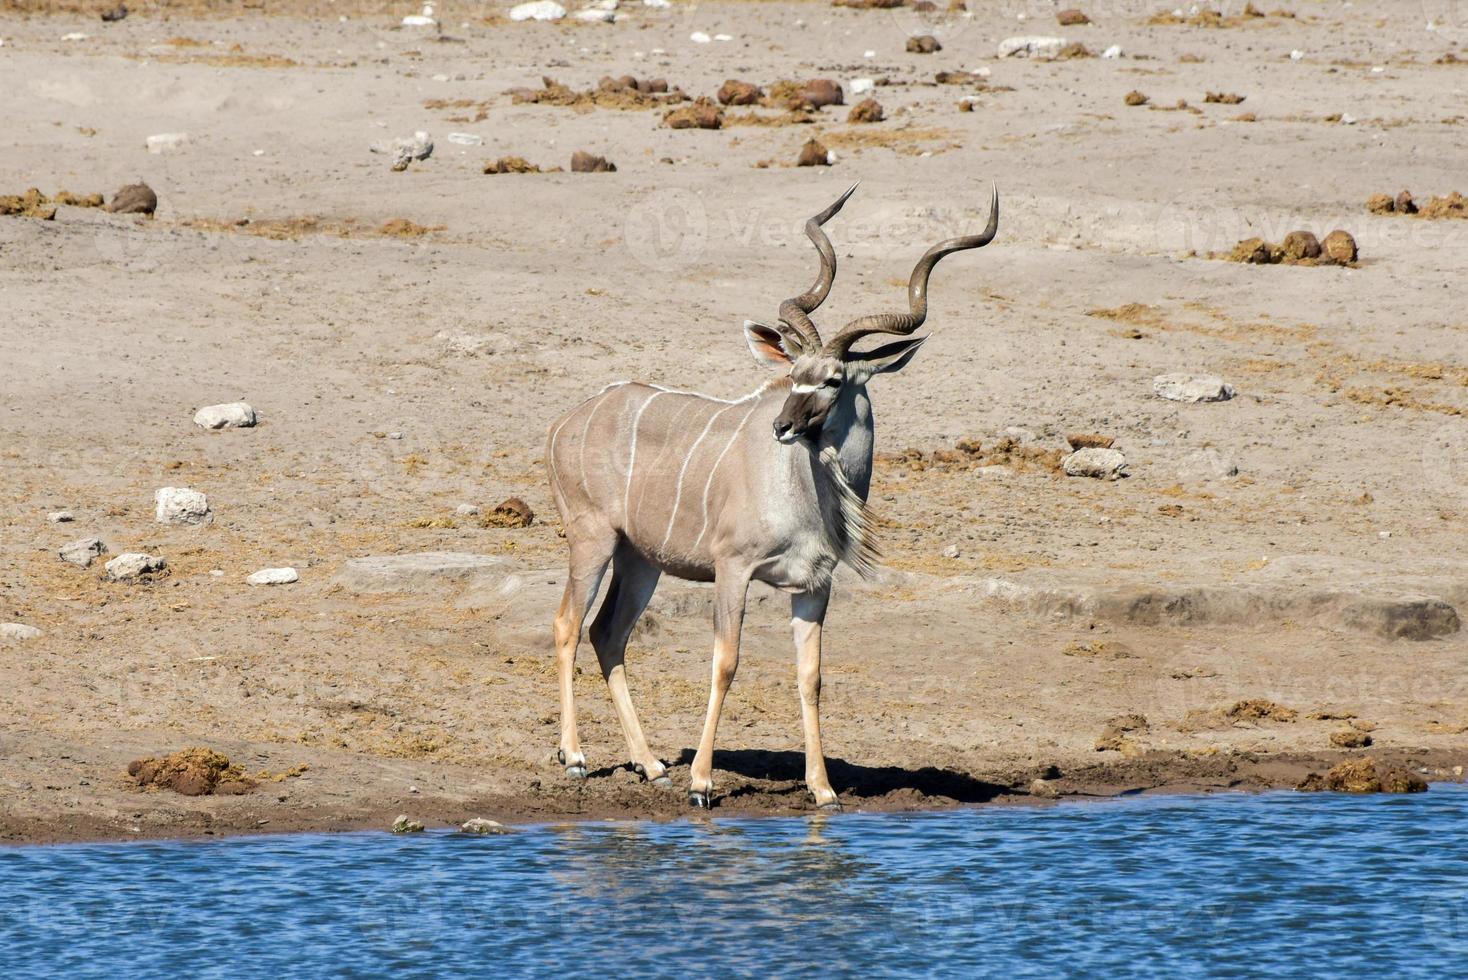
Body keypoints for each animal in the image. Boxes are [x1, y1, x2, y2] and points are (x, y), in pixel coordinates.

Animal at [546, 183, 1004, 809]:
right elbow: (726, 661)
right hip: (591, 540)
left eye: (832, 379)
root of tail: (569, 420)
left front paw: (823, 790)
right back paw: (575, 758)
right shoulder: (732, 569)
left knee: (607, 633)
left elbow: (811, 677)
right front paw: (702, 783)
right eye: (794, 375)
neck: (805, 497)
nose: (782, 426)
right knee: (569, 624)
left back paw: (652, 765)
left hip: (641, 560)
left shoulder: (814, 586)